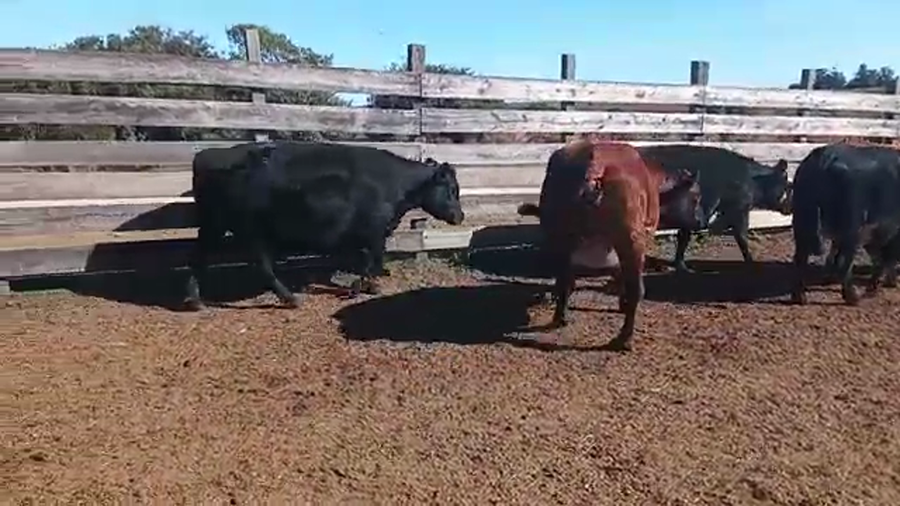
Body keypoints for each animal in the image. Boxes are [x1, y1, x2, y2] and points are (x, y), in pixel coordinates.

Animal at [182, 141, 465, 311]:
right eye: (451, 189)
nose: (460, 216)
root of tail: (208, 153)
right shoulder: (374, 232)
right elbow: (371, 261)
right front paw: (360, 288)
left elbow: (365, 261)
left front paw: (366, 286)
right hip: (248, 229)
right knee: (261, 265)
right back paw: (290, 298)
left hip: (216, 225)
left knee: (200, 256)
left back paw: (195, 300)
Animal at [516, 140, 706, 352]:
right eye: (696, 197)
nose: (702, 222)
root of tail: (594, 164)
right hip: (630, 240)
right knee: (635, 289)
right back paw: (624, 339)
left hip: (559, 236)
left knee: (564, 279)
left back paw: (561, 318)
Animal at [635, 145, 792, 273]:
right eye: (785, 184)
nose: (790, 208)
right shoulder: (737, 209)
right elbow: (741, 236)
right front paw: (752, 263)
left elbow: (684, 237)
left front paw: (684, 268)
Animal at [789, 142, 900, 305]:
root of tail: (824, 159)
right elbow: (884, 258)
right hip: (851, 226)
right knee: (844, 262)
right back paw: (853, 298)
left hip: (801, 219)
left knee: (800, 257)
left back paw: (800, 298)